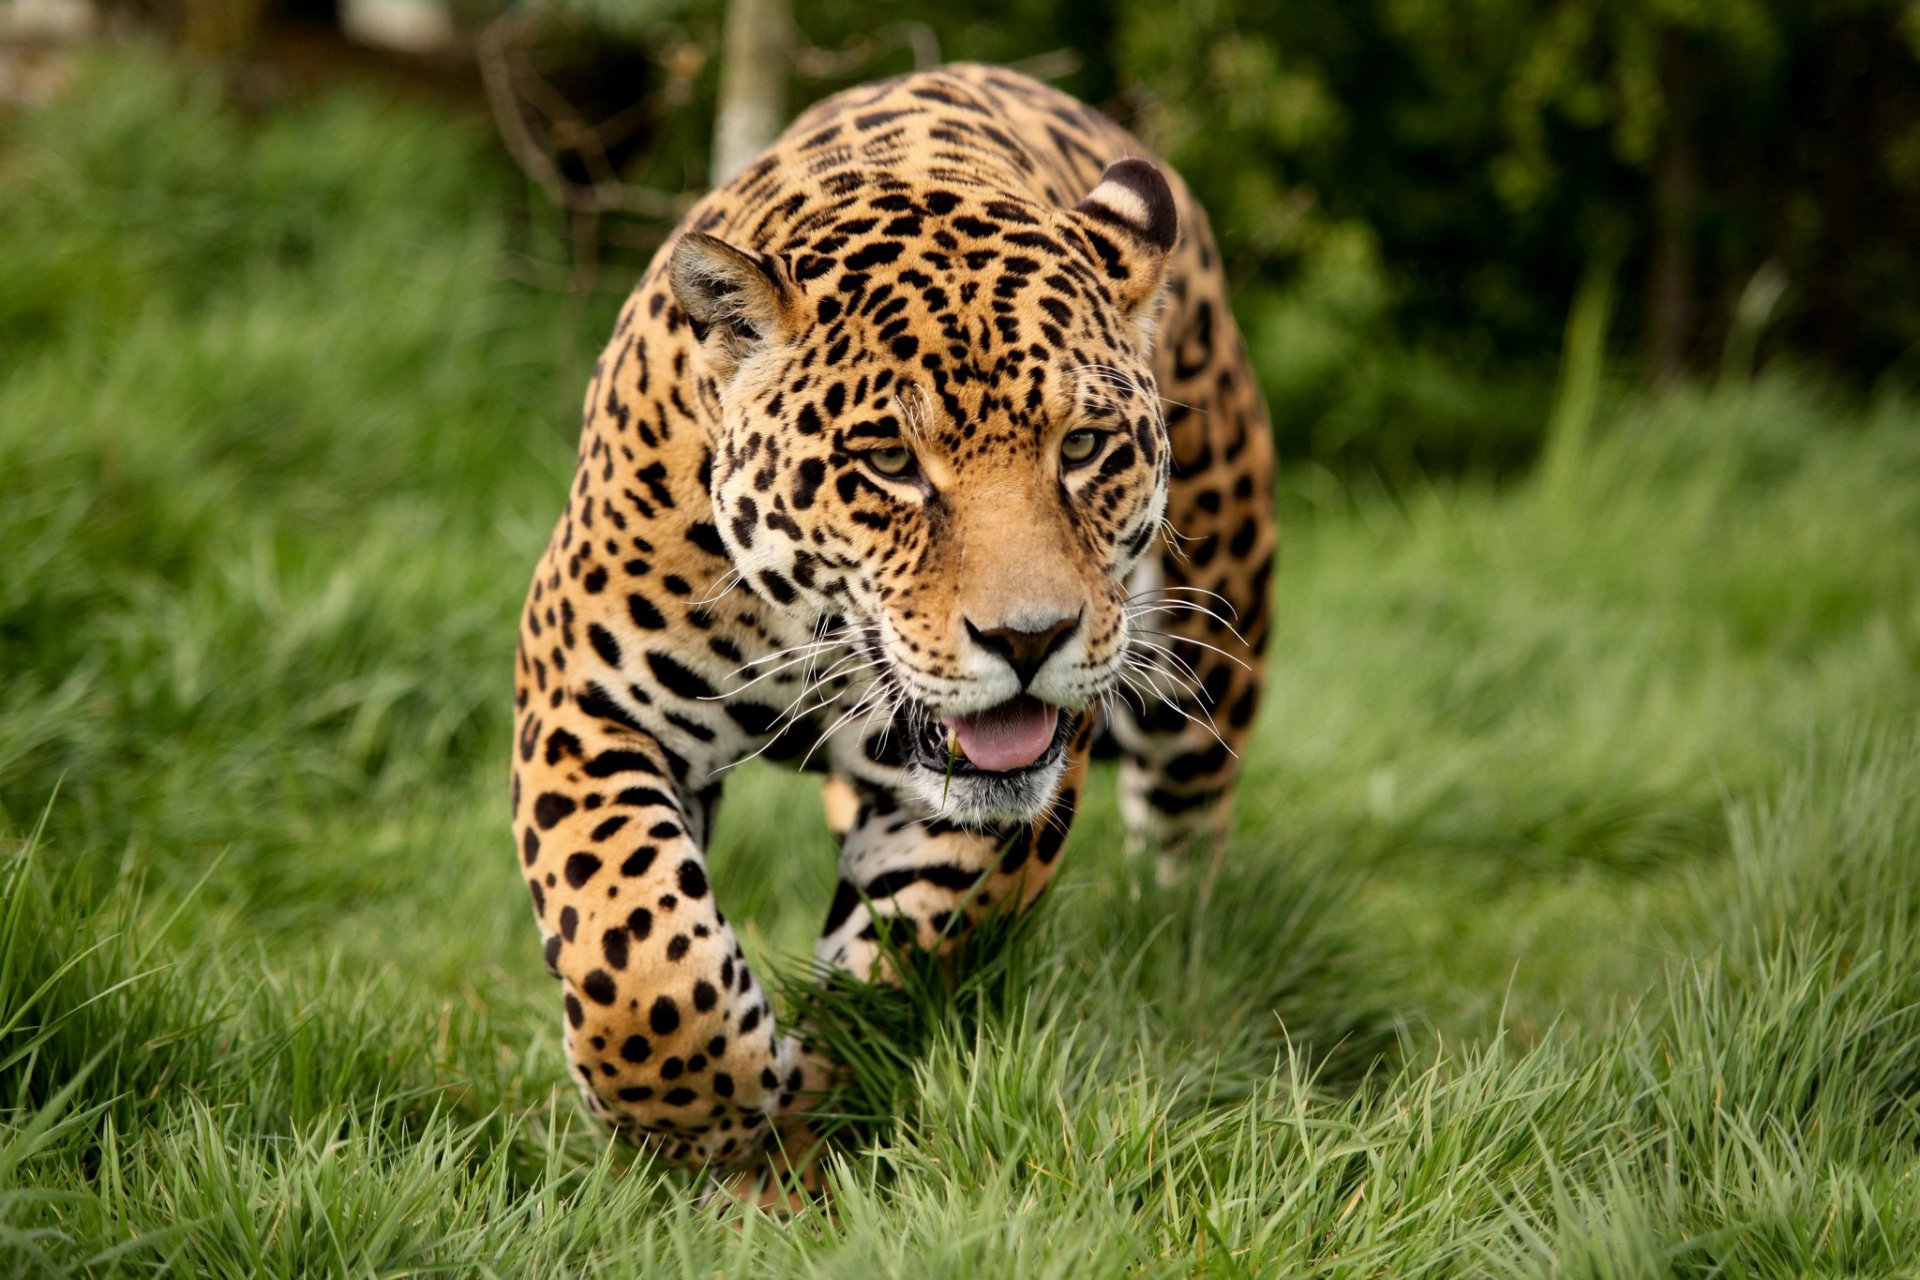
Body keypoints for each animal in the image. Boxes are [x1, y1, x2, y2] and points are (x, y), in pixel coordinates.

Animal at [510, 62, 1276, 1186]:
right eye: (888, 463)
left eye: (1083, 446)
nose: (1030, 639)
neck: (809, 629)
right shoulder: (586, 697)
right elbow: (634, 947)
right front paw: (699, 1121)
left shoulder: (993, 803)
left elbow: (895, 957)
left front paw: (798, 1120)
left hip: (1211, 653)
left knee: (1188, 833)